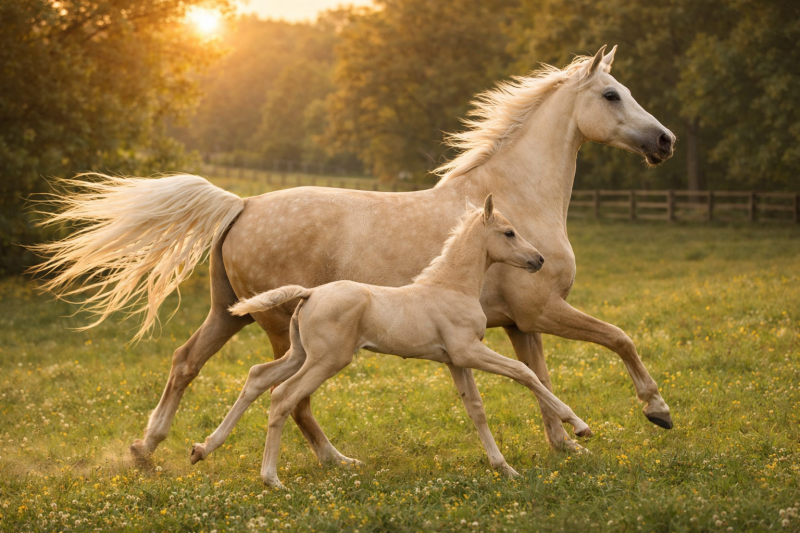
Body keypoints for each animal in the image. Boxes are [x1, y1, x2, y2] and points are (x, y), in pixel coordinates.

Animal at [190, 195, 593, 486]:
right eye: (509, 233)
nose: (538, 259)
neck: (452, 287)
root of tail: (309, 293)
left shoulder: (455, 360)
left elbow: (476, 409)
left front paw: (504, 467)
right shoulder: (469, 350)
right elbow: (525, 372)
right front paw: (579, 426)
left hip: (300, 354)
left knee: (259, 377)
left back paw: (203, 448)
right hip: (327, 360)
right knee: (284, 397)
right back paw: (271, 478)